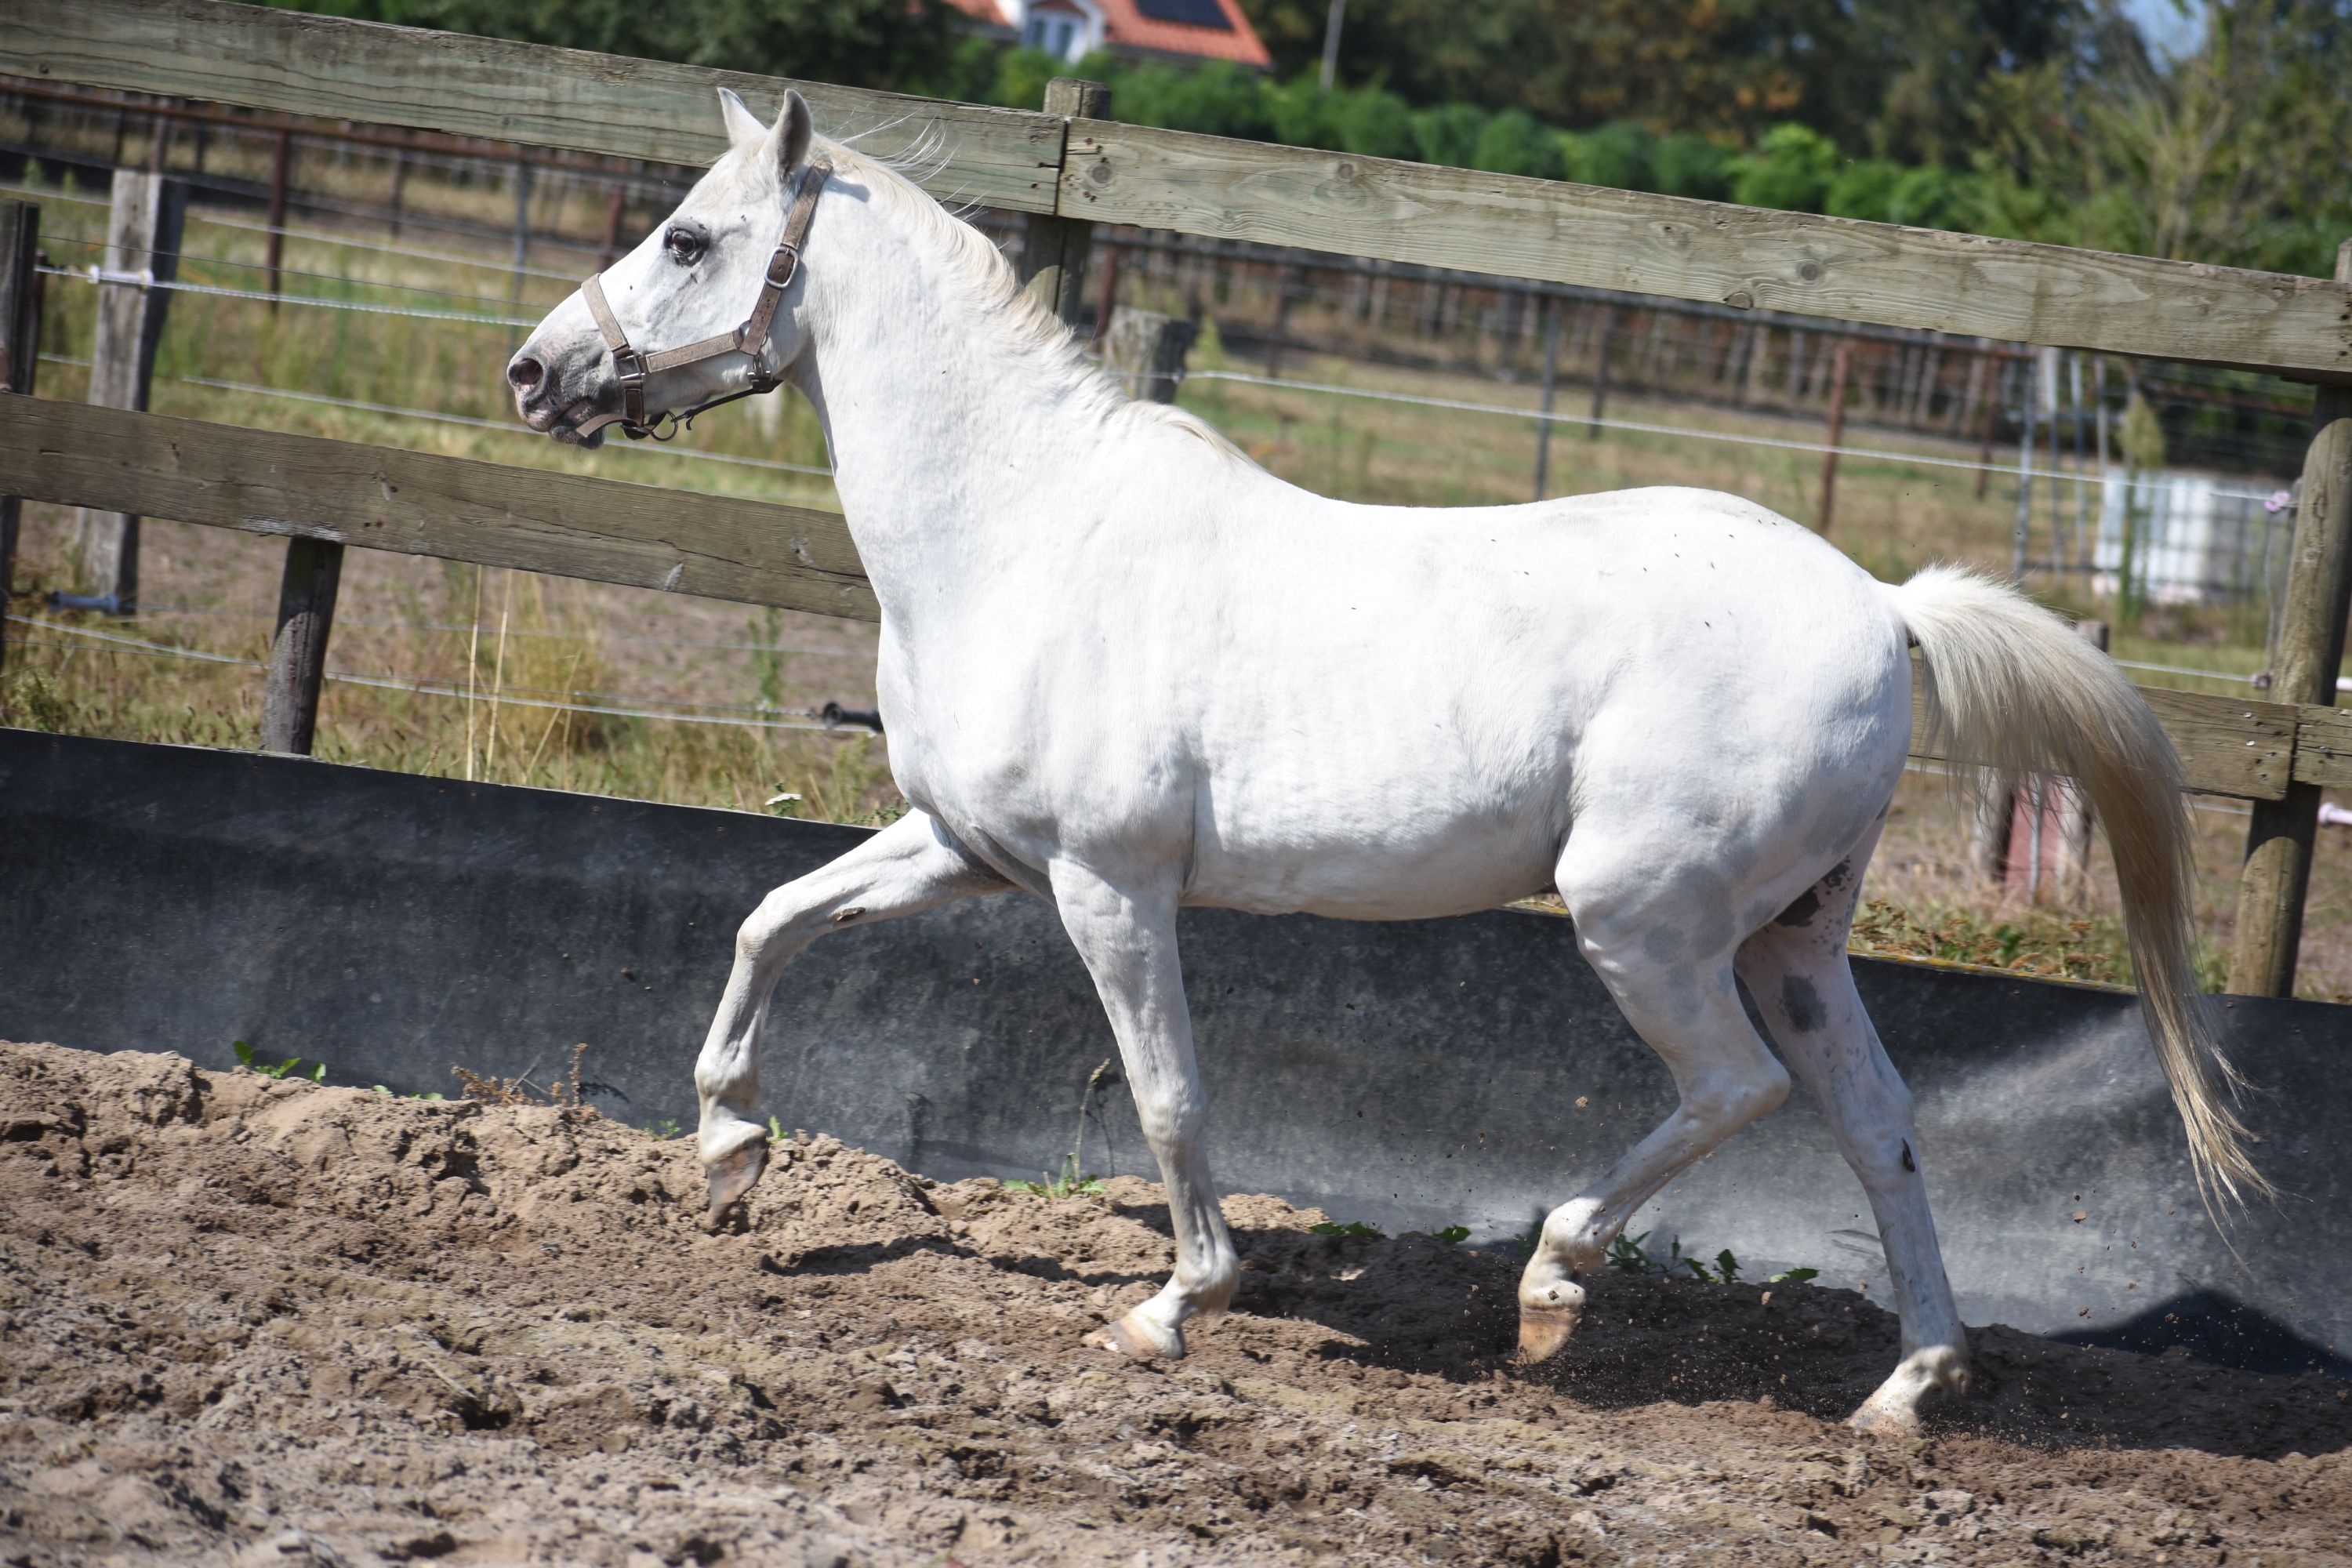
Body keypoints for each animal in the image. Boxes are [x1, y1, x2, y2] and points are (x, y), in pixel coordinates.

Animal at [508, 88, 2262, 1430]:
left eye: (688, 239)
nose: (536, 374)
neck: (1020, 533)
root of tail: (1887, 610)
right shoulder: (964, 849)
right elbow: (773, 919)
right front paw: (730, 1158)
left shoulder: (1107, 885)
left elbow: (1167, 1096)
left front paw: (1173, 1307)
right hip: (1794, 936)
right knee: (1877, 1119)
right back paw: (1904, 1392)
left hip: (1645, 919)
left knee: (1736, 1088)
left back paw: (1554, 1283)